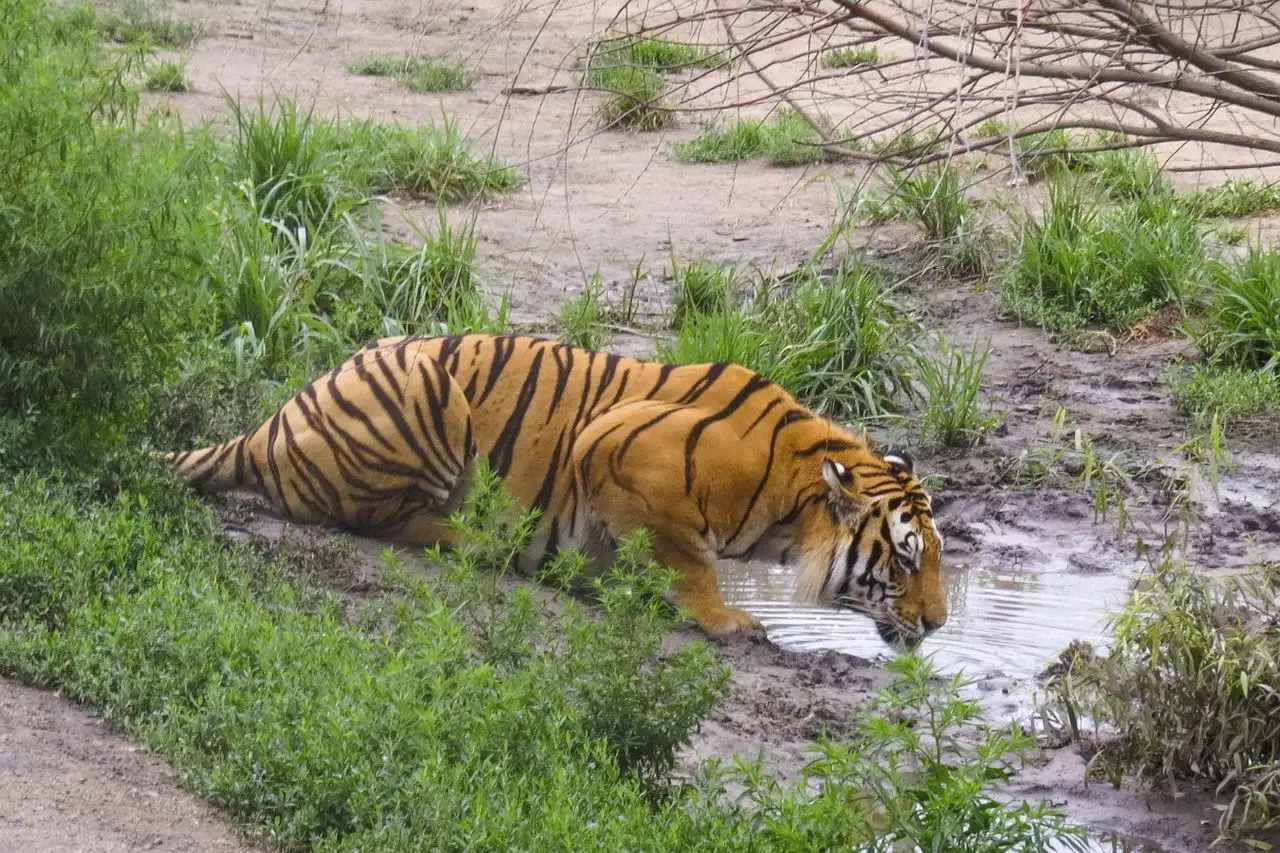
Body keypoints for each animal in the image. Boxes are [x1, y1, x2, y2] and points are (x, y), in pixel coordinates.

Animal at [167, 333, 952, 645]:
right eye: (905, 558)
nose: (943, 624)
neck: (791, 499)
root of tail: (268, 423)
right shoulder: (618, 447)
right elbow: (688, 559)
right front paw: (726, 619)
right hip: (429, 391)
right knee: (376, 518)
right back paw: (475, 540)